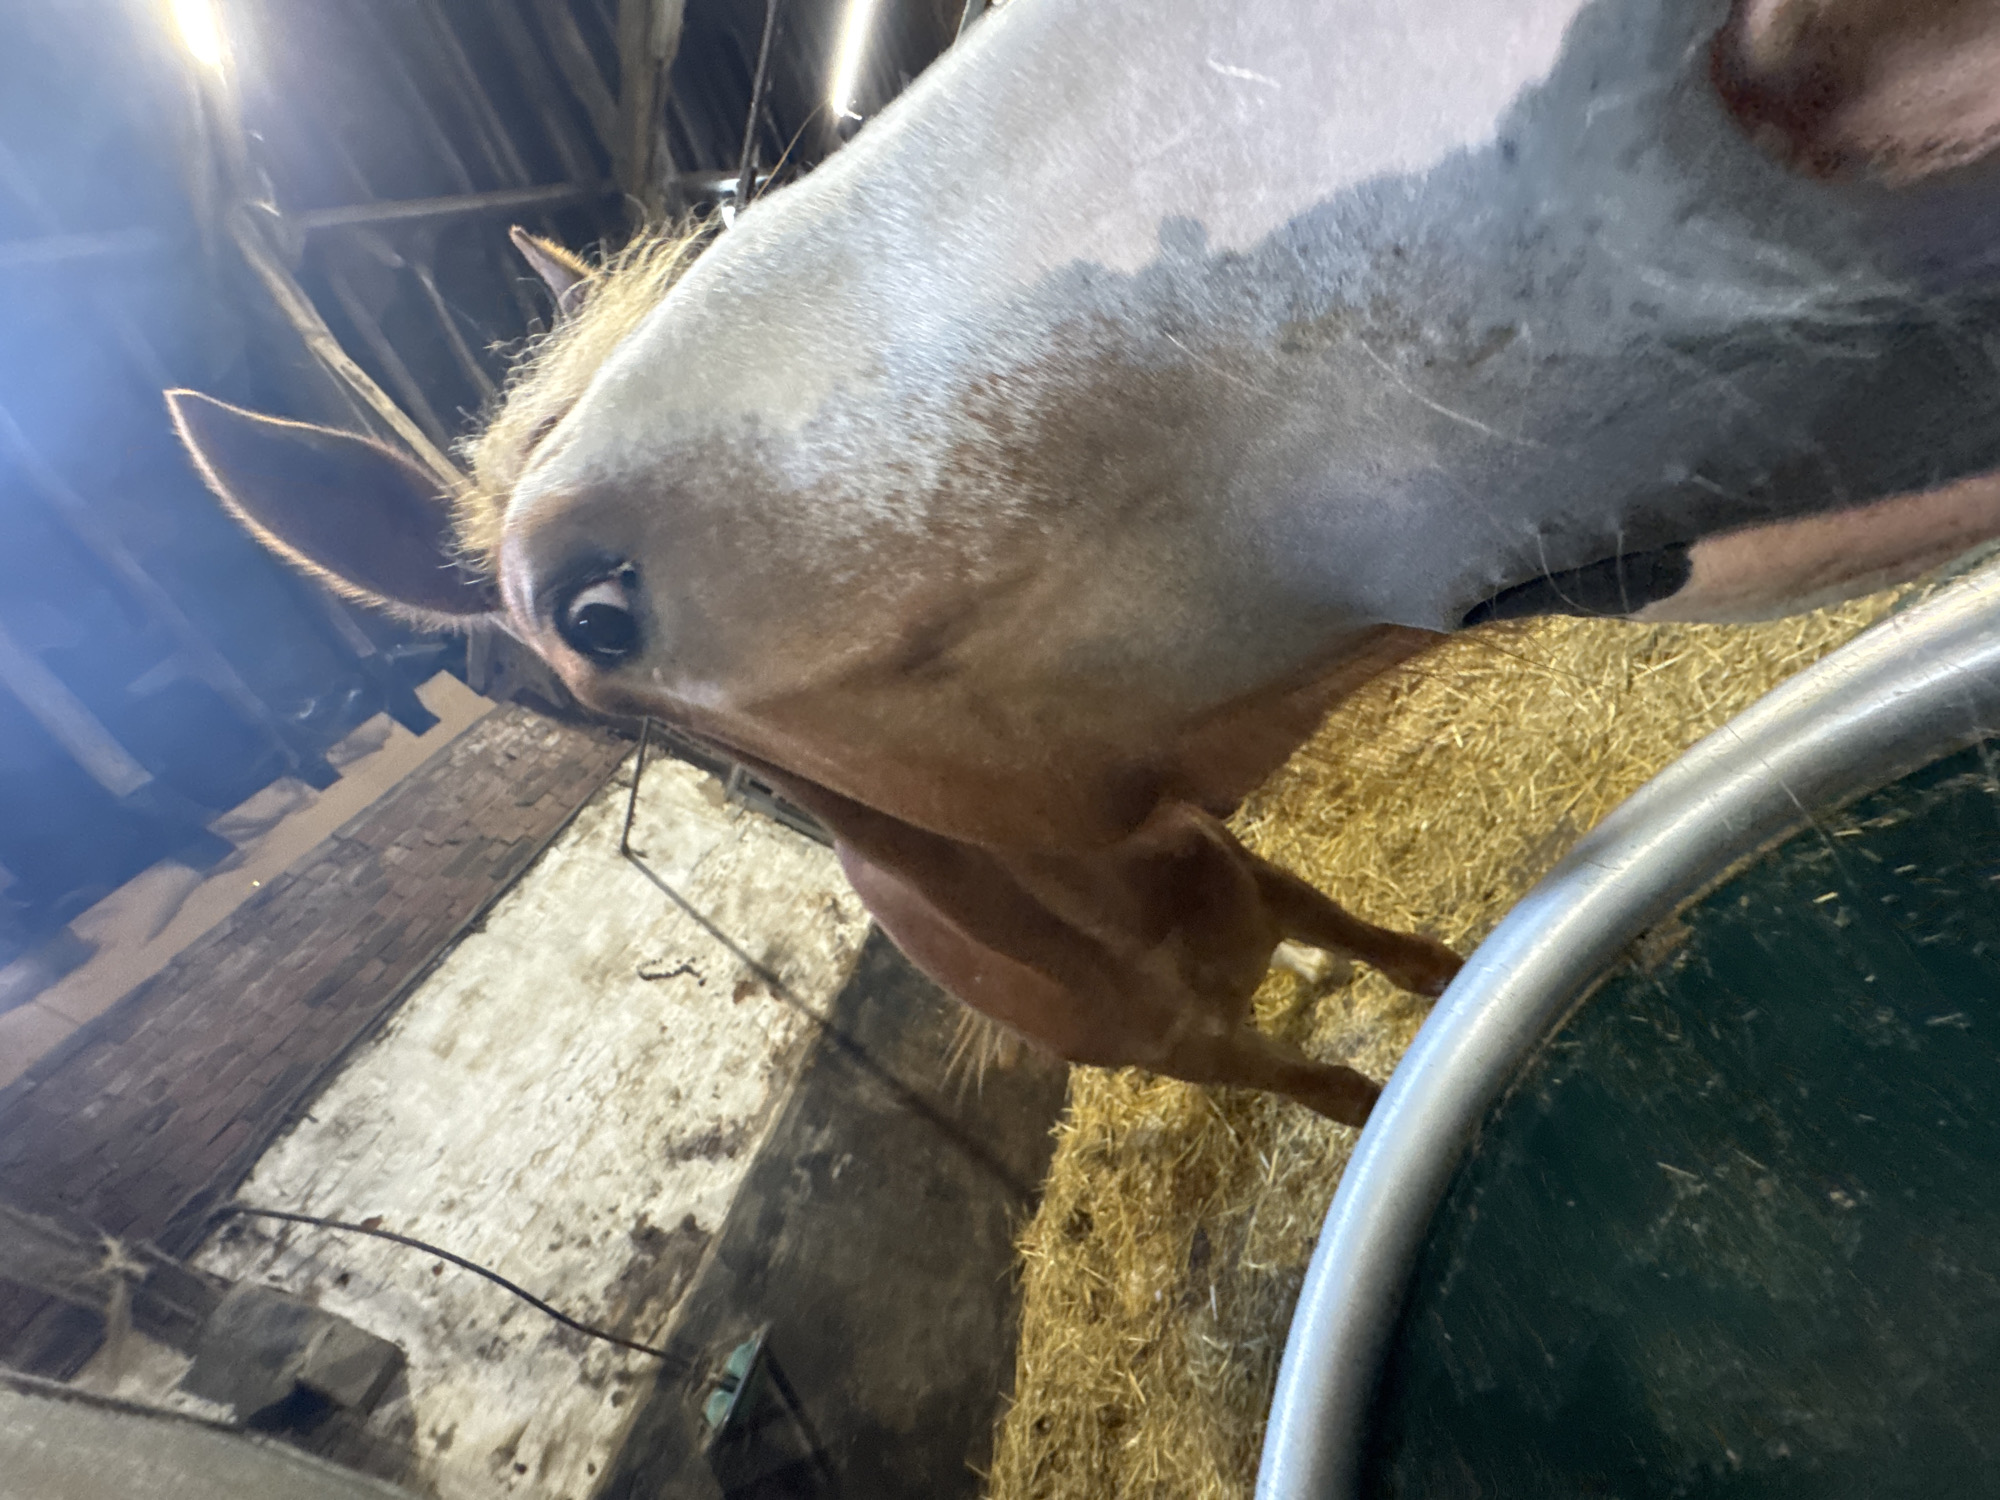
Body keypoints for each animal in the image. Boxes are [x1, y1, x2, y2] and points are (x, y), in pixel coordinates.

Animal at [169, 0, 2000, 1123]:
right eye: (593, 612)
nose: (1850, 44)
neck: (1114, 908)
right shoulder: (1227, 1062)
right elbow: (1353, 1095)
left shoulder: (1272, 880)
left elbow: (1429, 966)